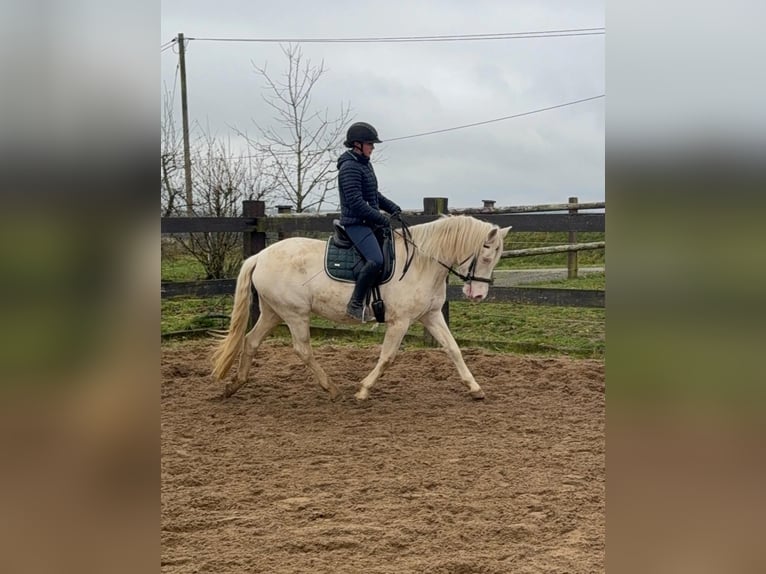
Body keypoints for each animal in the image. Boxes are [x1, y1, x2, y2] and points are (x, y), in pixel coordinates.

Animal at [211, 215, 511, 401]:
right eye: (486, 257)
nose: (478, 295)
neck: (422, 263)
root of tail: (260, 255)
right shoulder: (400, 322)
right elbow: (388, 357)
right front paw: (363, 390)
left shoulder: (431, 316)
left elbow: (453, 349)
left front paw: (475, 388)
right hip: (294, 314)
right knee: (302, 349)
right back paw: (332, 389)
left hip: (273, 312)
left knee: (250, 341)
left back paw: (235, 385)